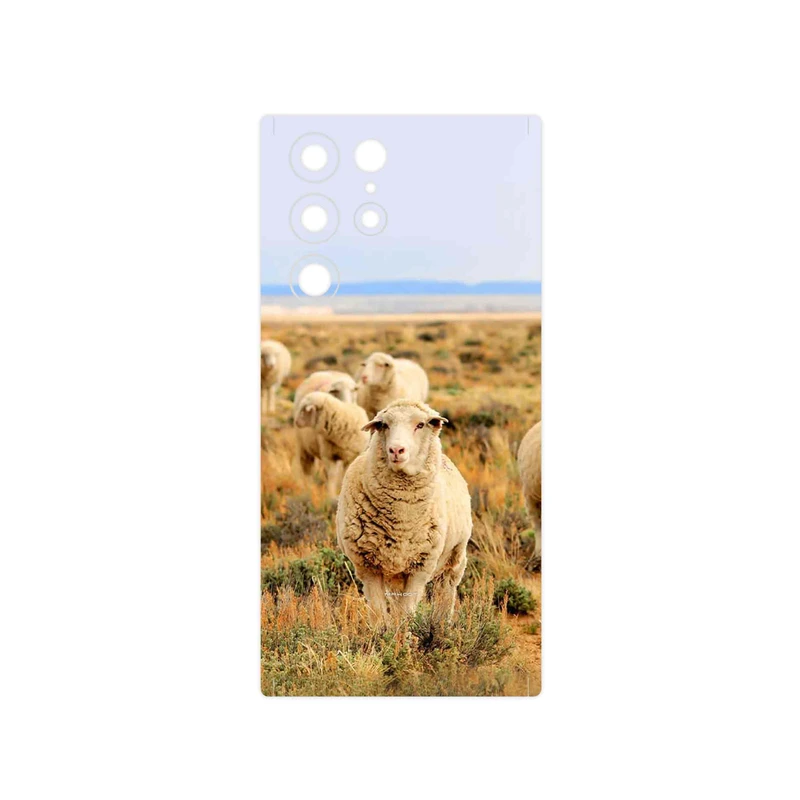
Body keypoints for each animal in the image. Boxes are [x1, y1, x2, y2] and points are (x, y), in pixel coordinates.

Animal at [336, 399, 472, 622]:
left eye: (420, 425)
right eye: (384, 425)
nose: (396, 450)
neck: (401, 519)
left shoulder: (420, 567)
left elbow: (406, 613)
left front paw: (405, 632)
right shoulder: (367, 566)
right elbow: (379, 613)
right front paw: (383, 631)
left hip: (454, 558)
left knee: (445, 591)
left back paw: (442, 624)